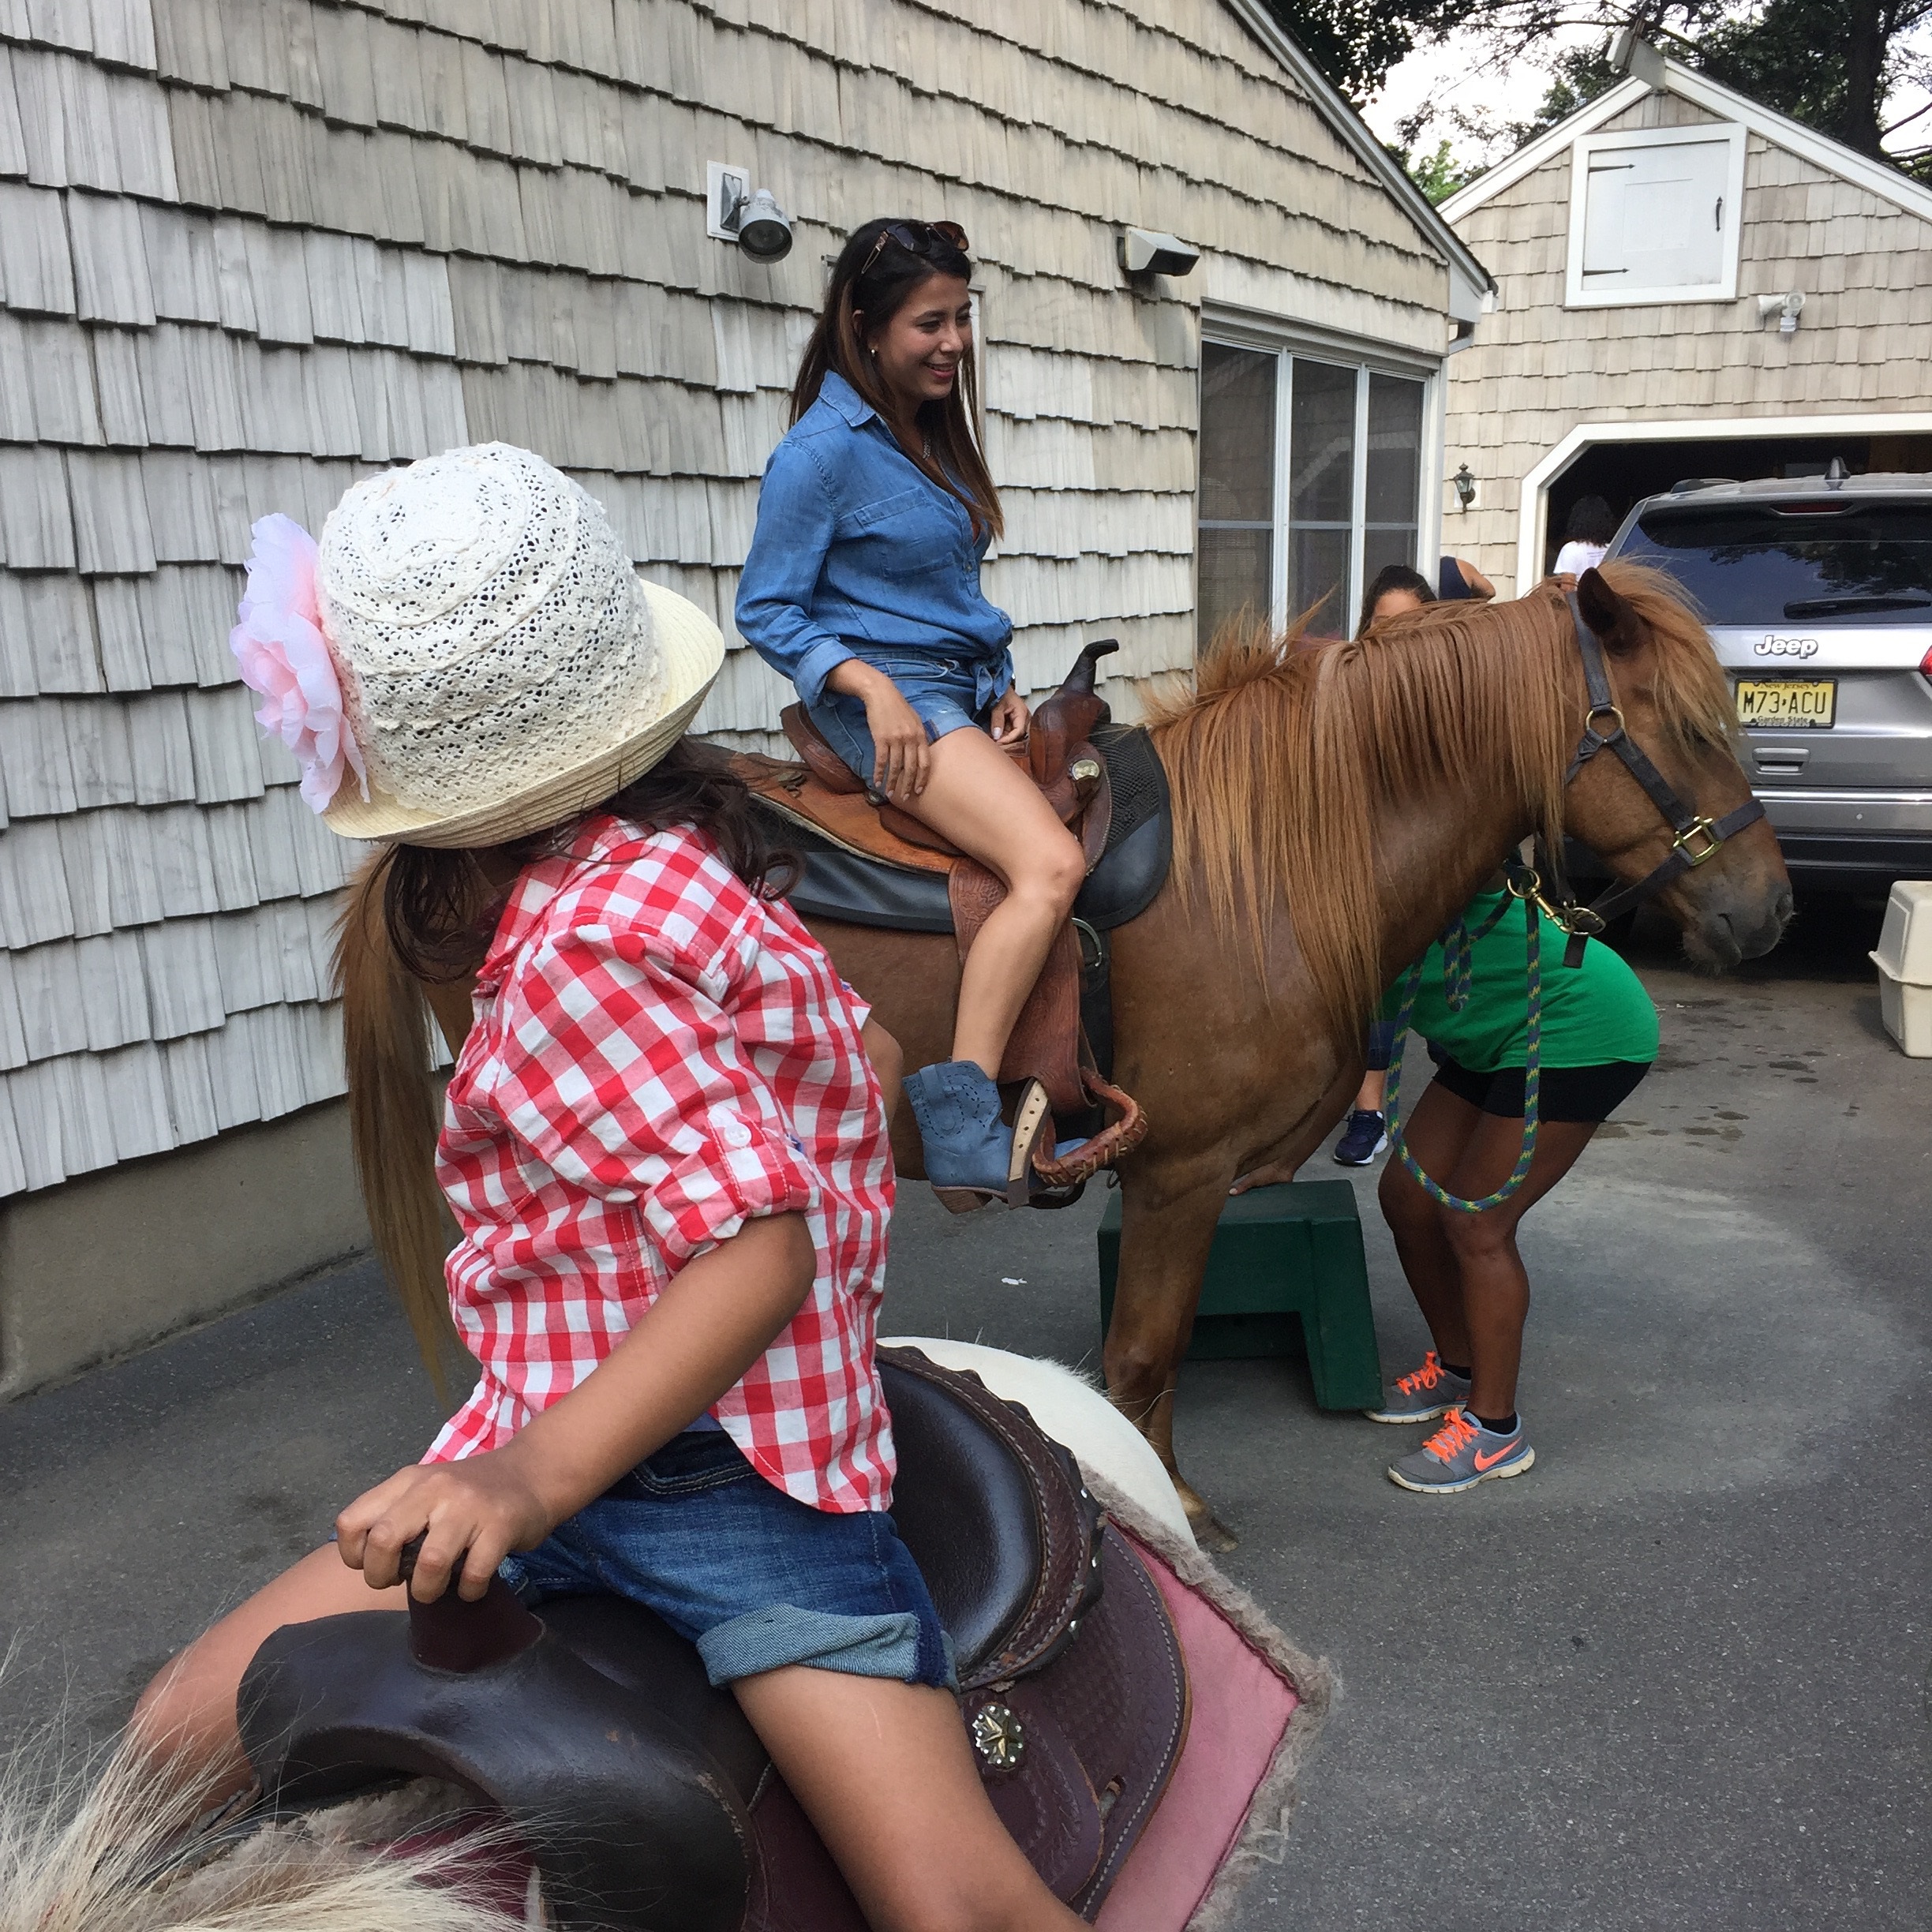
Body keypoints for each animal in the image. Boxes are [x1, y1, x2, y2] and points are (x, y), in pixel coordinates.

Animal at [339, 564, 1784, 1545]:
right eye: (1681, 725)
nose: (1765, 912)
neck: (1262, 866)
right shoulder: (1180, 1175)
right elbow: (1143, 1356)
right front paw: (1169, 1507)